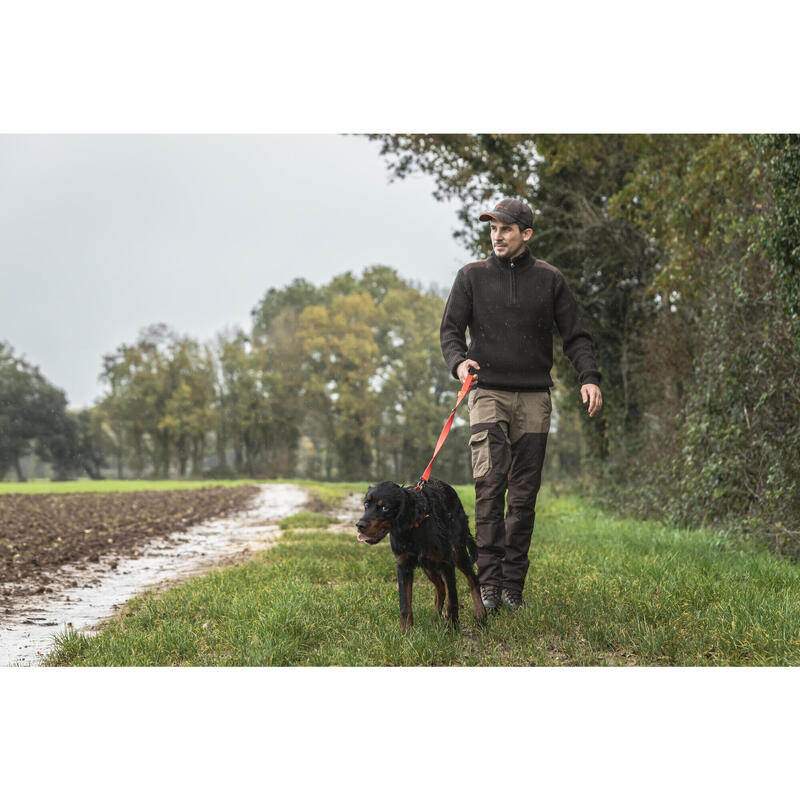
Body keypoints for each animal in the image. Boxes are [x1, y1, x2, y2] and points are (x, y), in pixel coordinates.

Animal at [358, 478, 488, 636]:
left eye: (385, 508)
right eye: (366, 504)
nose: (359, 525)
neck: (414, 528)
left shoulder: (446, 562)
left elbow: (453, 599)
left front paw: (452, 627)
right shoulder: (403, 565)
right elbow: (405, 604)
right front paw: (406, 634)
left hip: (457, 552)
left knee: (472, 579)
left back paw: (480, 614)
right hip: (428, 565)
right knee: (440, 588)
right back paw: (435, 617)